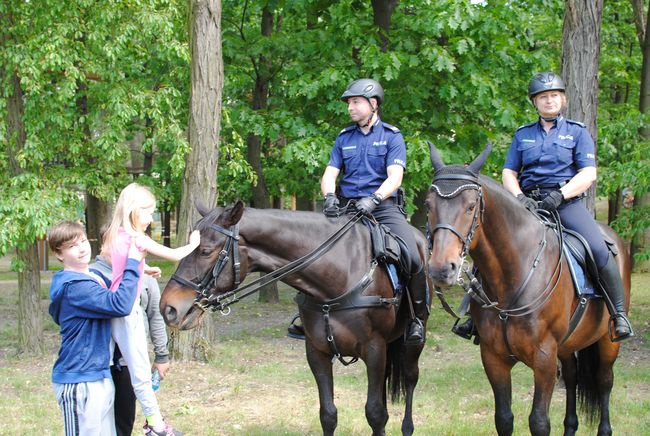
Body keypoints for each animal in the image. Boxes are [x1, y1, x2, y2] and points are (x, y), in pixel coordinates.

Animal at [157, 203, 430, 434]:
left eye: (205, 251)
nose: (168, 308)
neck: (340, 273)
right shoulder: (317, 352)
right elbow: (328, 414)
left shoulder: (374, 349)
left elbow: (375, 414)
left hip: (410, 344)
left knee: (410, 379)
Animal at [422, 143, 624, 436]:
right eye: (428, 206)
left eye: (471, 207)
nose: (440, 269)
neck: (513, 276)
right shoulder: (493, 358)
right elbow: (504, 418)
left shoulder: (544, 359)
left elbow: (539, 421)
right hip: (567, 347)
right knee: (572, 378)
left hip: (608, 342)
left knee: (604, 380)